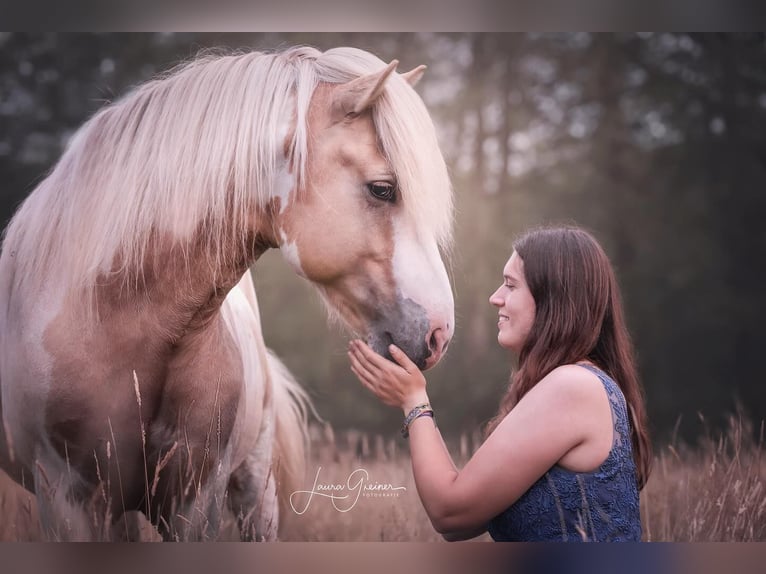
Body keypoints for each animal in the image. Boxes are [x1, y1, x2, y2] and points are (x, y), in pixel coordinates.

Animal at [0, 46, 456, 544]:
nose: (439, 332)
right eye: (383, 189)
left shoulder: (195, 502)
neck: (108, 315)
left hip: (255, 491)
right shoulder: (68, 499)